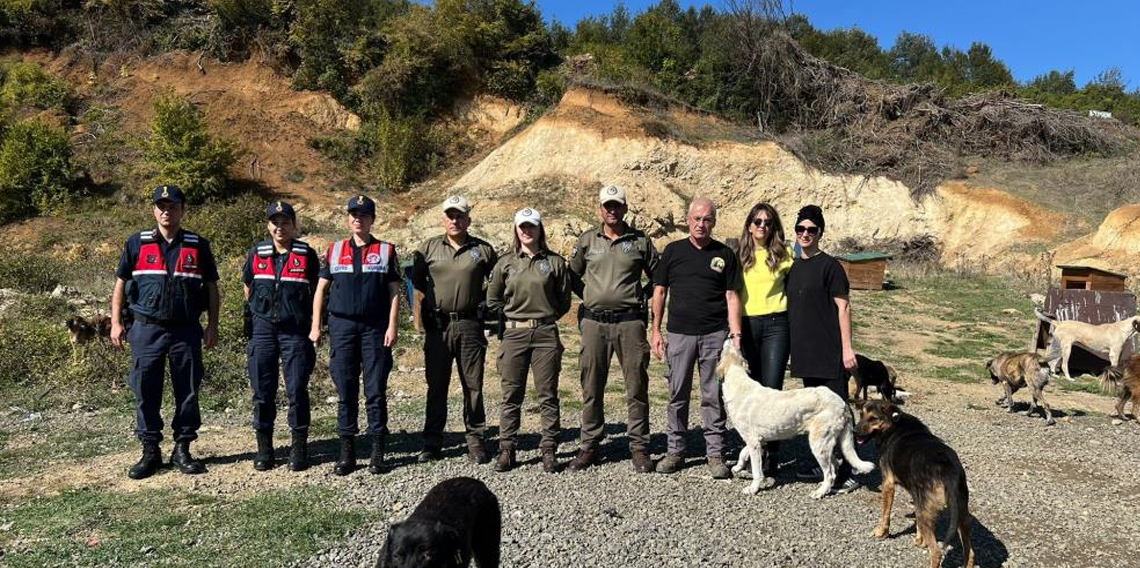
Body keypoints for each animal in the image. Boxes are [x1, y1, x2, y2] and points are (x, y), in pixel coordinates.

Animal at [715, 339, 875, 499]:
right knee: (834, 466)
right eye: (736, 349)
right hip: (825, 444)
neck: (738, 381)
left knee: (830, 473)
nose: (730, 337)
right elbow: (743, 452)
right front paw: (738, 467)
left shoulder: (753, 441)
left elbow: (756, 471)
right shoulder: (758, 440)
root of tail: (842, 402)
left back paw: (820, 492)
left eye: (728, 348)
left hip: (818, 444)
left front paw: (753, 488)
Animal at [857, 399, 975, 568]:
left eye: (873, 418)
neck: (893, 424)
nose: (854, 431)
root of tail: (948, 469)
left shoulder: (888, 484)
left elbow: (885, 514)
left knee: (936, 553)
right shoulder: (917, 495)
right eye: (861, 414)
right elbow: (919, 525)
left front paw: (881, 532)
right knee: (970, 554)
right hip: (961, 513)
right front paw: (920, 540)